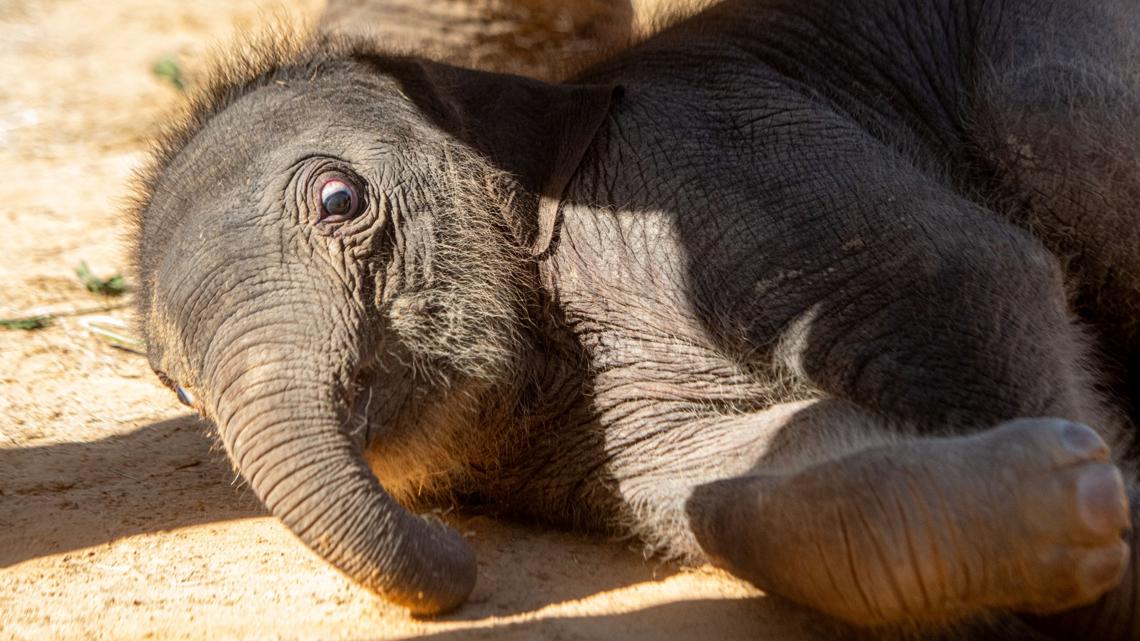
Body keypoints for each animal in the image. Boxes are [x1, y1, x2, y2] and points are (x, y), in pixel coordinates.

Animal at [135, 0, 1140, 634]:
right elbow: (733, 476)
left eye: (338, 199)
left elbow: (968, 280)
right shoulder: (591, 439)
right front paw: (1075, 507)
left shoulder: (714, 153)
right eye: (177, 388)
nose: (459, 551)